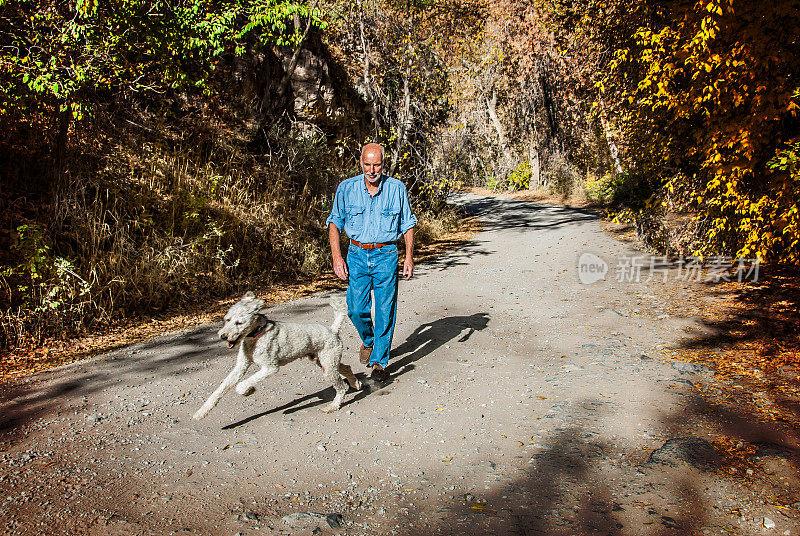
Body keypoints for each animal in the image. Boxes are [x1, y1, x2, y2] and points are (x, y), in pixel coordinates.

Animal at [192, 294, 360, 418]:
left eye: (239, 323)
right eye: (227, 320)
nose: (223, 336)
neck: (256, 335)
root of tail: (333, 330)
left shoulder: (270, 367)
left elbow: (243, 384)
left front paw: (248, 390)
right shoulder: (240, 367)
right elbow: (219, 391)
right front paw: (201, 412)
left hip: (328, 365)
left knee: (341, 387)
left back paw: (333, 406)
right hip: (324, 361)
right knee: (346, 367)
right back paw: (356, 383)